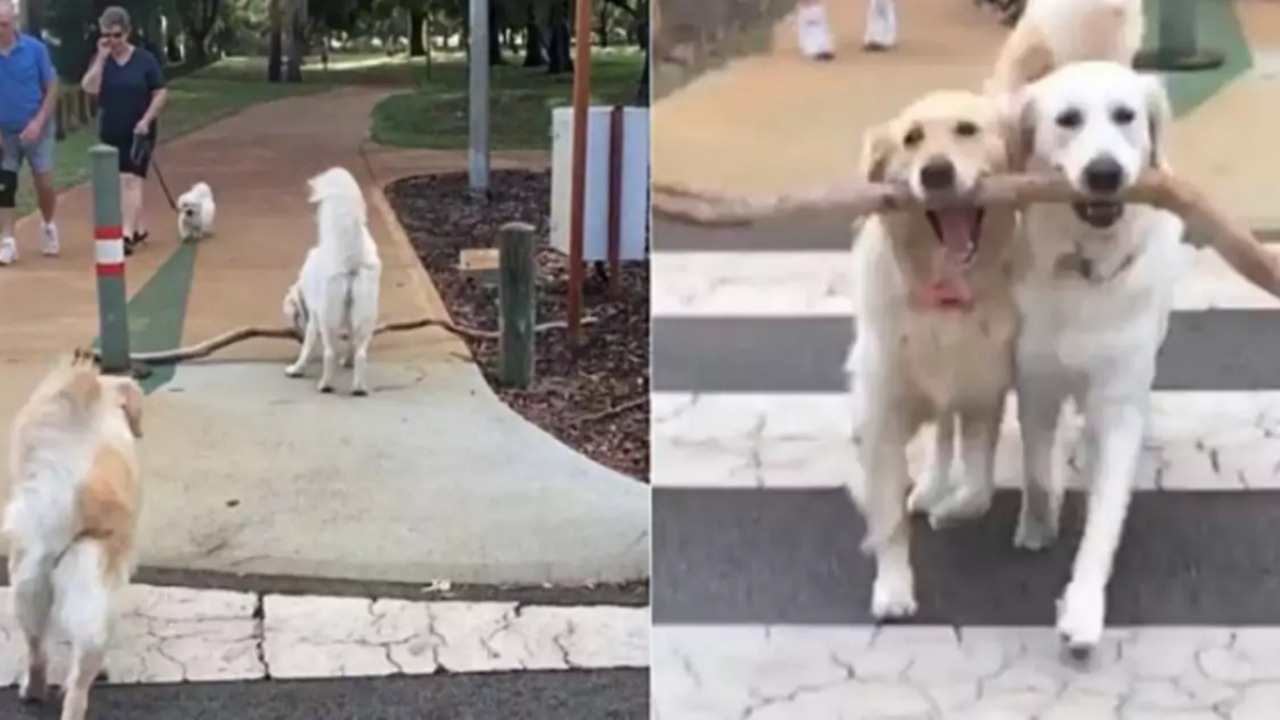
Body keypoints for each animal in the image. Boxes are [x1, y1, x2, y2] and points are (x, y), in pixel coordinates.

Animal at [289, 166, 384, 394]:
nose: (295, 334)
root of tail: (350, 257)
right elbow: (350, 343)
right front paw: (348, 361)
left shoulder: (315, 317)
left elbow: (307, 346)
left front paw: (297, 368)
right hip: (365, 312)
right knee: (361, 352)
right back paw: (358, 387)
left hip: (328, 316)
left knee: (330, 352)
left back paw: (325, 384)